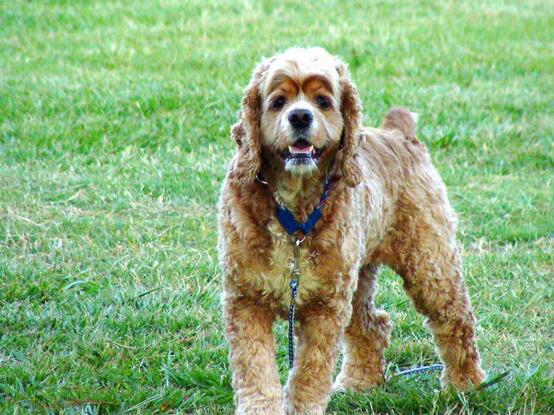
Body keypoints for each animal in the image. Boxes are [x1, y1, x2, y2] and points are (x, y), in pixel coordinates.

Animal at [218, 47, 485, 415]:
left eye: (323, 101)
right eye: (277, 102)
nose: (299, 116)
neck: (295, 210)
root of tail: (398, 132)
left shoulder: (325, 306)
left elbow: (309, 373)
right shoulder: (246, 300)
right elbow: (255, 368)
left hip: (429, 263)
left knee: (456, 320)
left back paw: (464, 385)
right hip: (357, 278)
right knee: (373, 325)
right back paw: (359, 383)